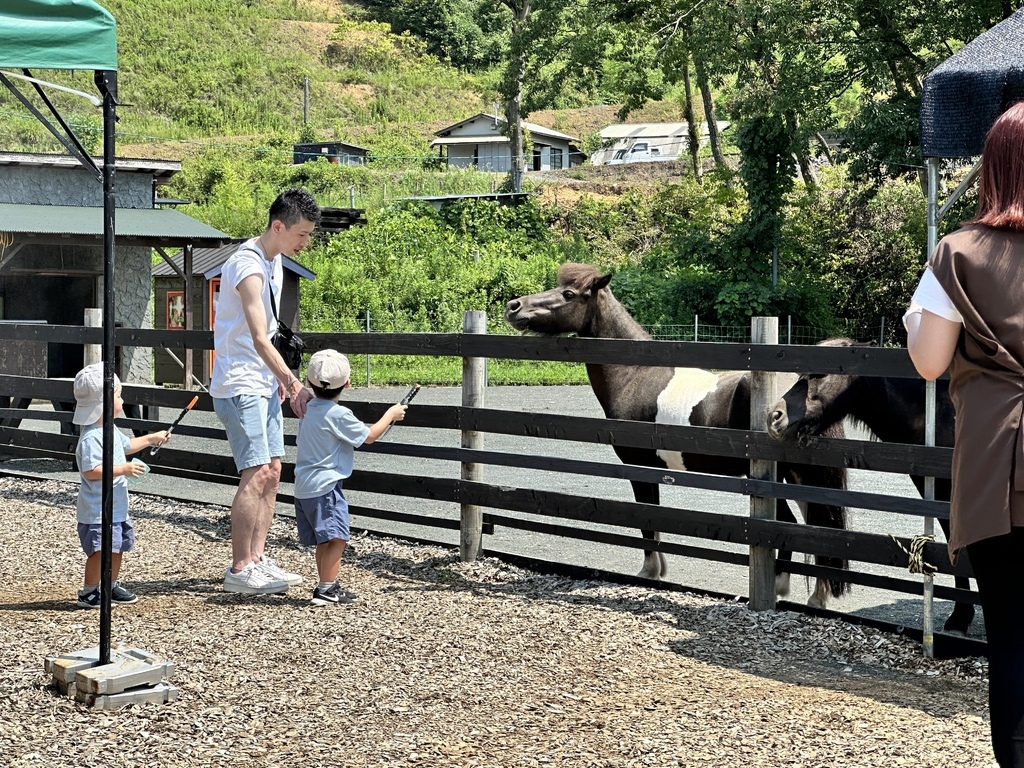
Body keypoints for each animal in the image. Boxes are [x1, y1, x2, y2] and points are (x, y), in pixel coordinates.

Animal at [503, 264, 847, 606]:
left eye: (569, 294)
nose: (513, 307)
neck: (634, 375)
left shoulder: (638, 466)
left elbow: (646, 518)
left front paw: (649, 573)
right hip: (801, 477)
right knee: (818, 526)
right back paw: (817, 597)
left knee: (795, 524)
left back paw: (780, 589)